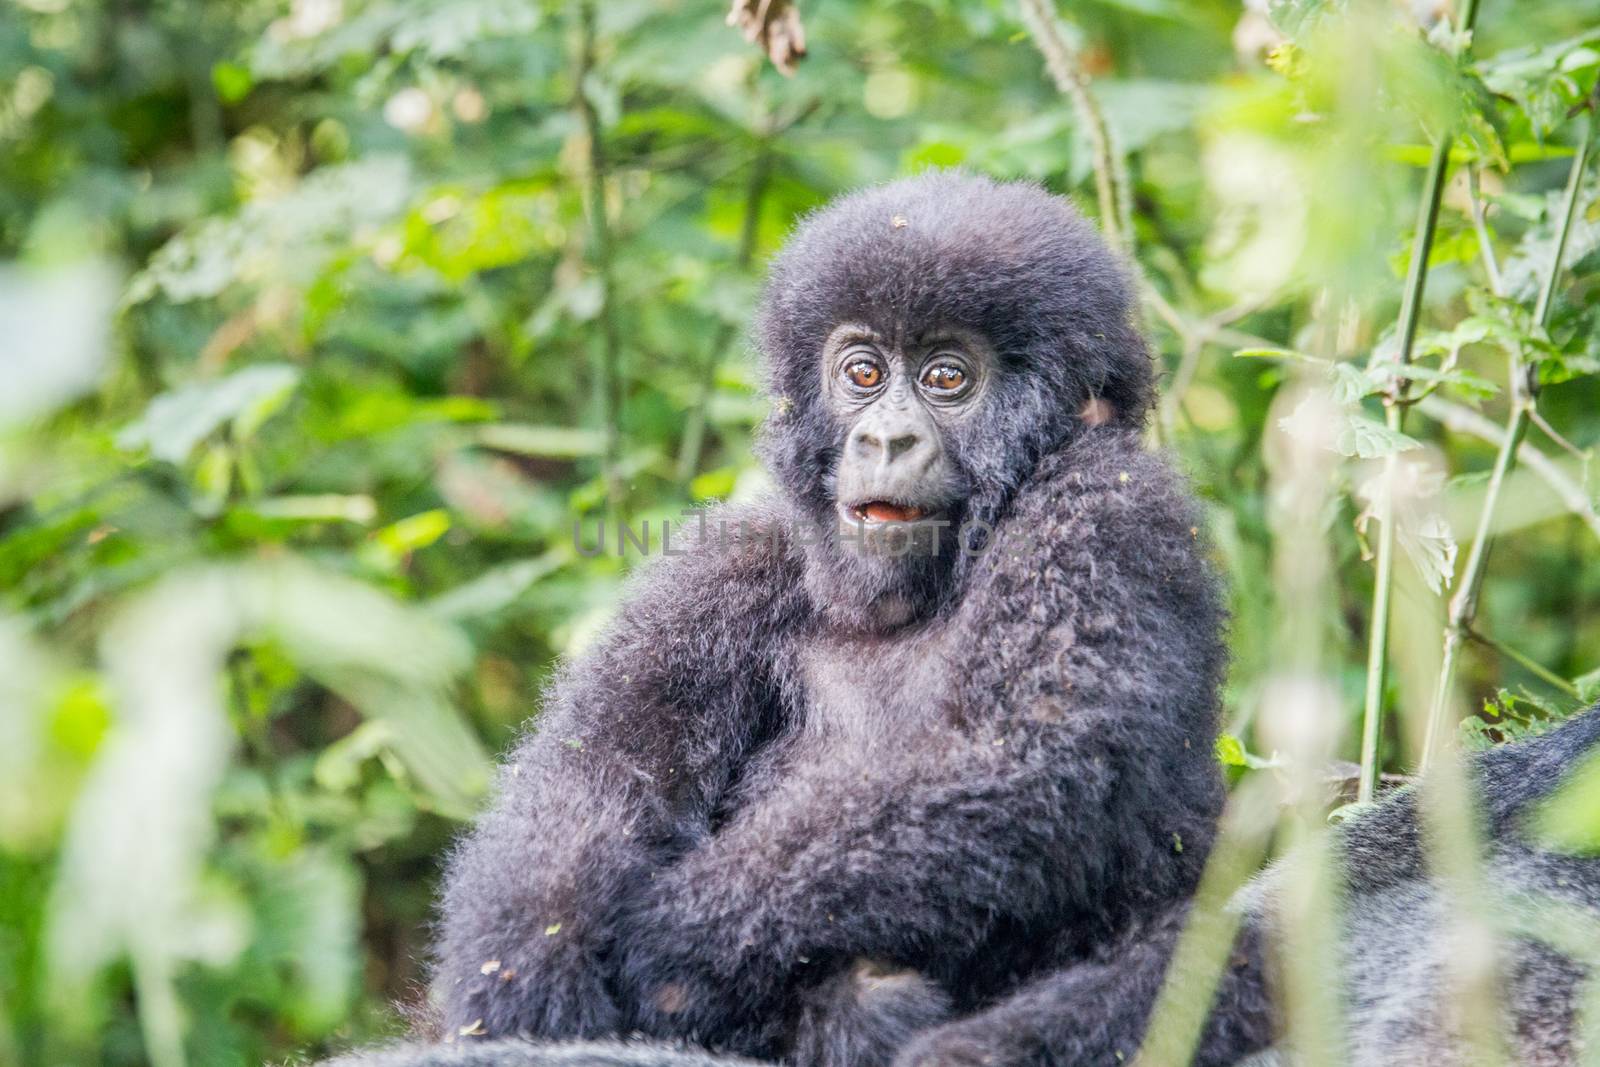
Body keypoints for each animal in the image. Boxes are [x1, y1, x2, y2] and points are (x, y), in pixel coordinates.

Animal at [425, 171, 1222, 1062]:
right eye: (864, 372)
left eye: (947, 378)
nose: (885, 439)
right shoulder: (727, 564)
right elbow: (595, 767)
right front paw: (528, 967)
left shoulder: (1111, 508)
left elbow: (1027, 749)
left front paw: (668, 945)